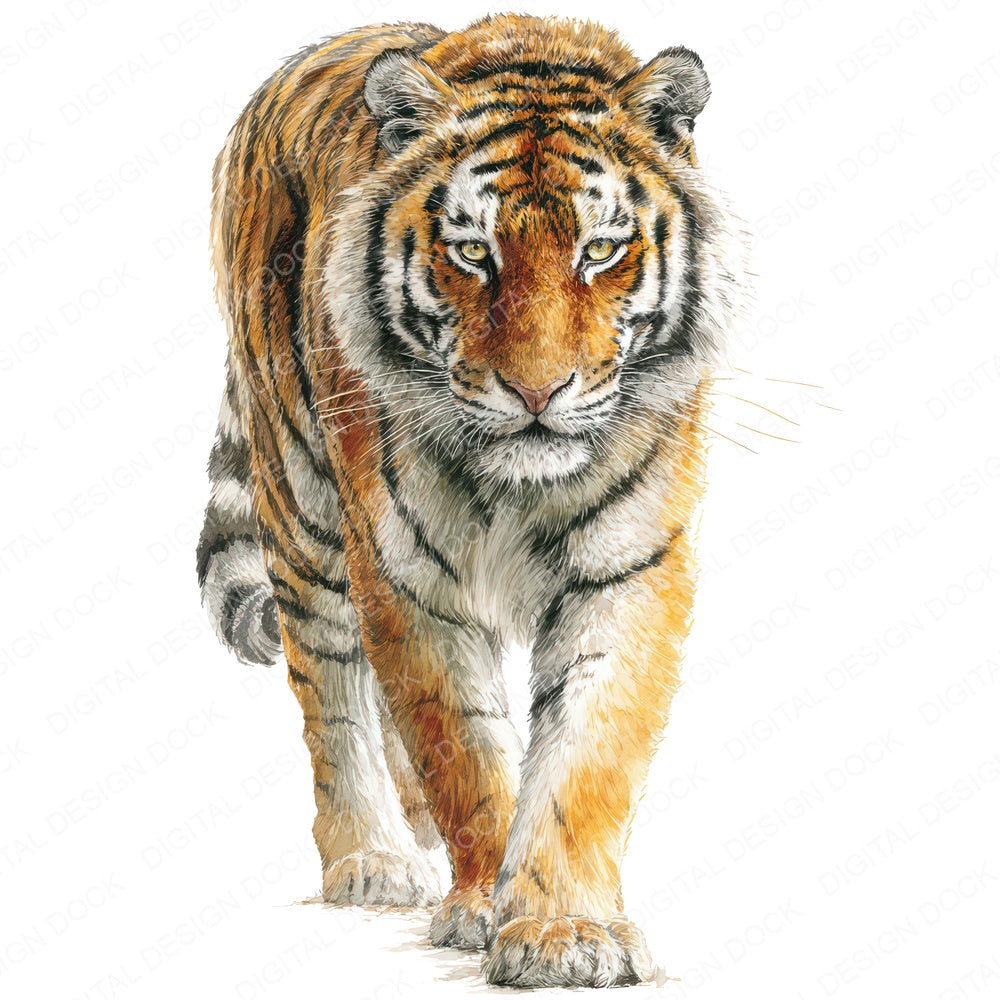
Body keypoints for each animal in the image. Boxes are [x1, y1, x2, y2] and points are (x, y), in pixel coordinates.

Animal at [196, 12, 745, 989]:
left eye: (600, 250)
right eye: (471, 252)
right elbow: (464, 747)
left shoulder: (629, 567)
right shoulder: (408, 575)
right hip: (302, 506)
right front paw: (488, 903)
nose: (537, 392)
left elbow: (584, 756)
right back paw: (371, 858)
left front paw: (565, 930)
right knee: (330, 688)